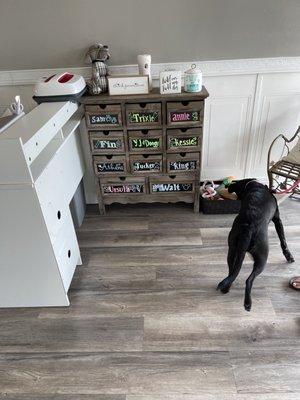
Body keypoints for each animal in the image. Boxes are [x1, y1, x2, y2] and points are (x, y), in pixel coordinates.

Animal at [217, 179, 294, 312]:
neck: (252, 184)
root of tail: (249, 227)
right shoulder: (278, 219)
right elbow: (283, 239)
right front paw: (288, 255)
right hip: (262, 258)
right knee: (249, 280)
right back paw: (248, 303)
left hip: (232, 249)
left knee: (232, 272)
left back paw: (226, 288)